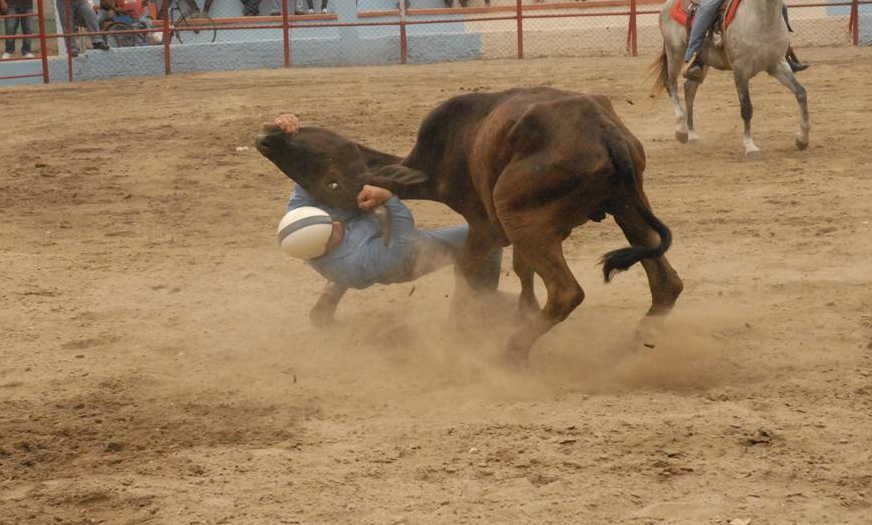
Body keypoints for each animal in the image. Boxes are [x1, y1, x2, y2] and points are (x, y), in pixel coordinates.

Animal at [656, 0, 812, 157]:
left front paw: (802, 139)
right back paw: (681, 130)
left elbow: (801, 93)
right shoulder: (740, 71)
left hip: (703, 62)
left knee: (689, 89)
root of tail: (666, 6)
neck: (762, 18)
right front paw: (750, 146)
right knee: (671, 84)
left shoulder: (776, 65)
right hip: (674, 53)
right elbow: (746, 108)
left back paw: (692, 133)